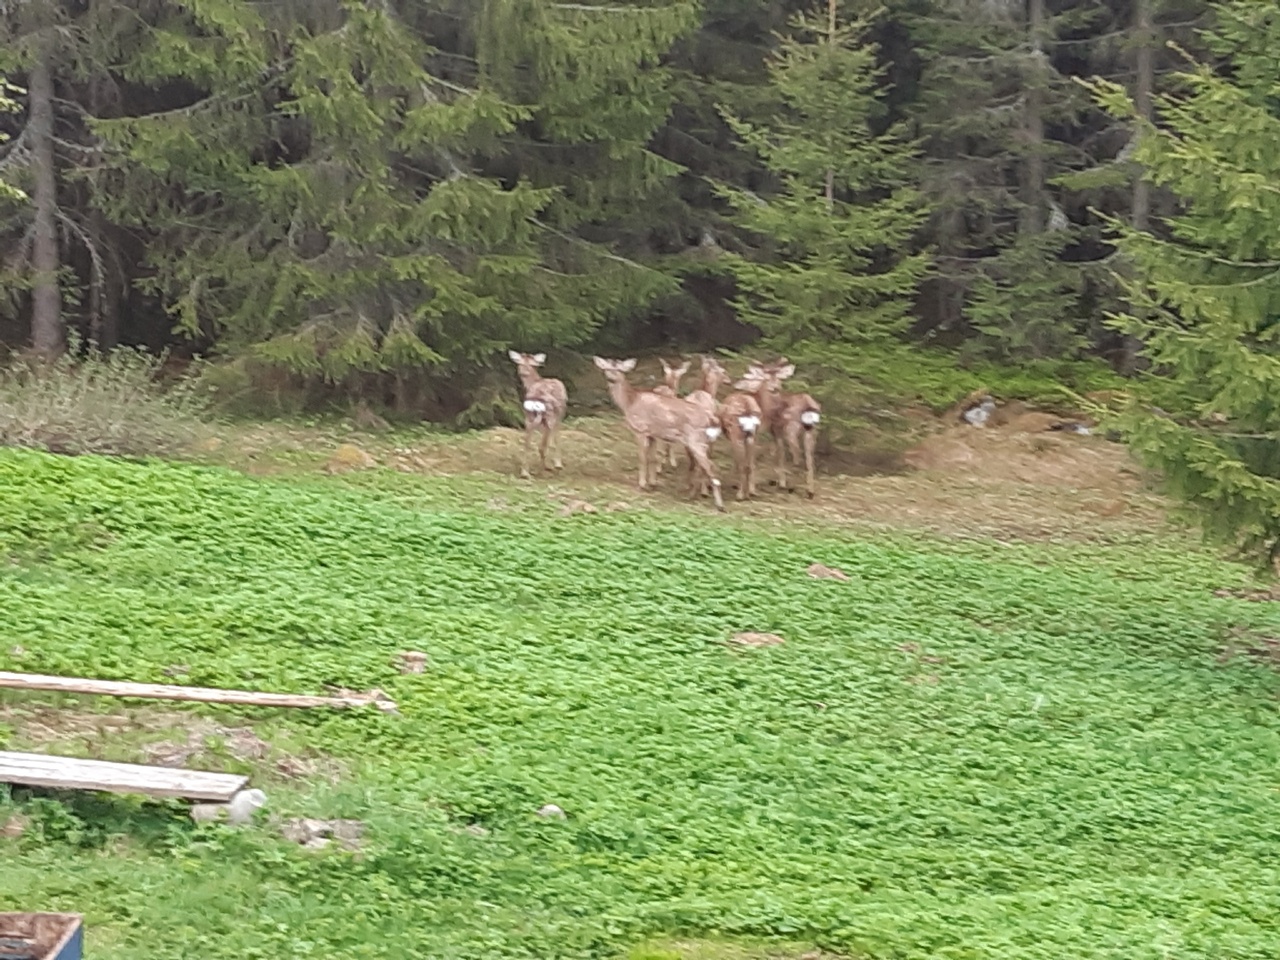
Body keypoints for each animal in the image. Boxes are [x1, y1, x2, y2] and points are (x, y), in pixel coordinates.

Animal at [506, 350, 568, 478]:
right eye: (520, 363)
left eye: (530, 364)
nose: (523, 372)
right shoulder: (560, 415)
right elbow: (555, 438)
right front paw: (556, 464)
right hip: (550, 415)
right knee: (546, 443)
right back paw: (551, 466)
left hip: (529, 416)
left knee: (527, 443)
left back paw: (525, 472)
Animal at [593, 358, 727, 512]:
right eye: (606, 368)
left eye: (620, 369)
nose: (611, 378)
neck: (630, 403)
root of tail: (711, 418)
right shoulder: (652, 434)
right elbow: (653, 458)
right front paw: (653, 483)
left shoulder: (641, 430)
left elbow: (642, 458)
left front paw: (642, 484)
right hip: (702, 442)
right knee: (705, 465)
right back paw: (694, 494)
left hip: (696, 440)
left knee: (710, 467)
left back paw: (719, 504)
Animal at [737, 358, 824, 499]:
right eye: (766, 378)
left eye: (778, 378)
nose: (775, 388)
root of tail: (807, 405)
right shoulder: (774, 430)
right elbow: (777, 453)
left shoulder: (774, 429)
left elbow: (778, 453)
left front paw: (780, 482)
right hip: (812, 429)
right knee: (809, 457)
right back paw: (810, 491)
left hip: (791, 428)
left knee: (797, 455)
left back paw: (791, 486)